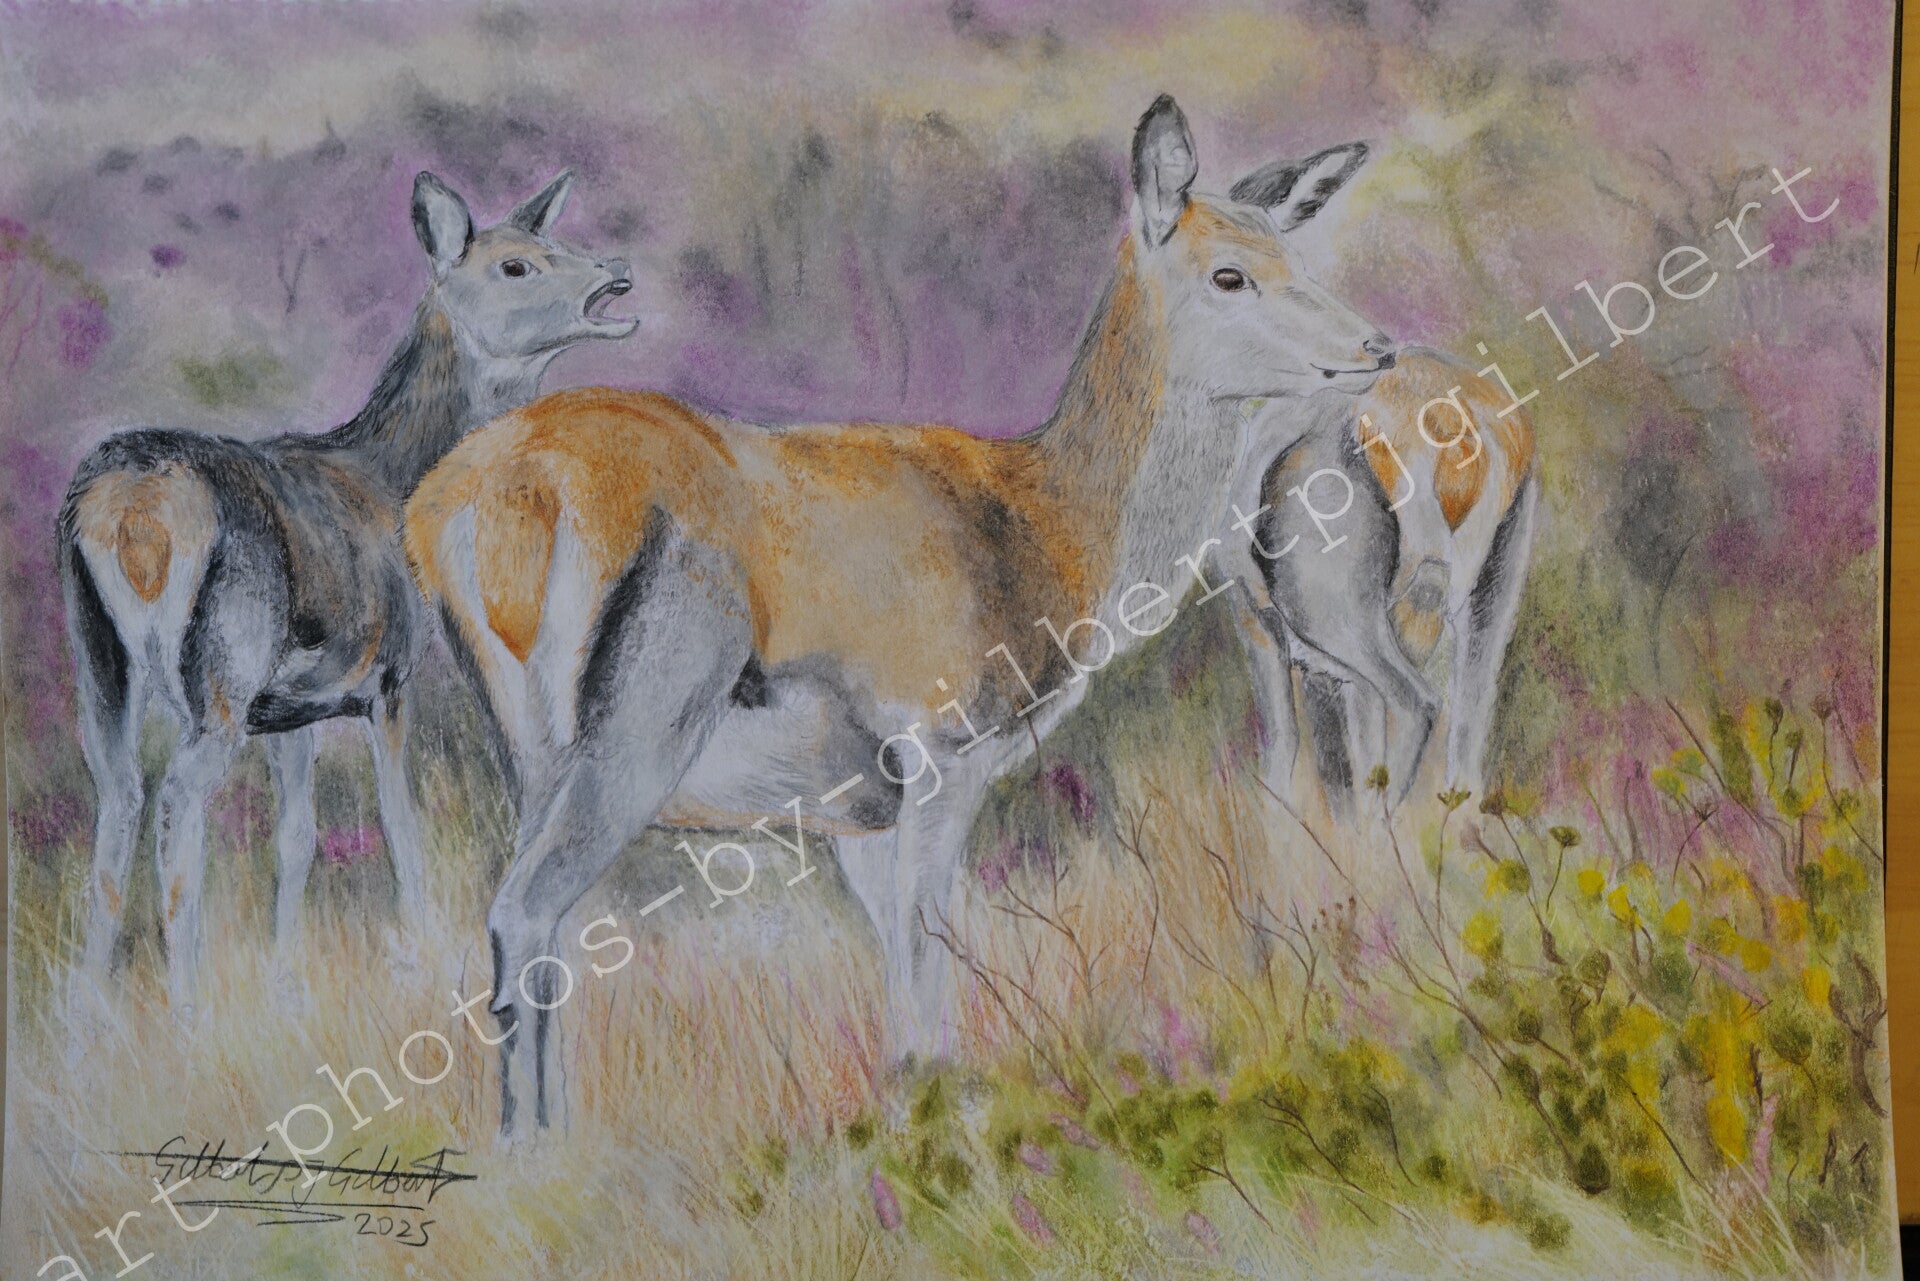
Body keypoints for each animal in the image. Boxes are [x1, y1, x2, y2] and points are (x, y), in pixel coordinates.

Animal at [59, 169, 638, 1015]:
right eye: (516, 265)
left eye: (555, 240)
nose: (617, 272)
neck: (394, 478)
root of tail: (130, 510)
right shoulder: (388, 675)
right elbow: (400, 822)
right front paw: (432, 960)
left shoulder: (287, 708)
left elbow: (295, 836)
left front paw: (285, 983)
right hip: (223, 662)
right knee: (177, 797)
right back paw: (187, 1008)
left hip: (98, 653)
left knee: (117, 792)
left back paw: (89, 1016)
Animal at [404, 95, 1396, 1133]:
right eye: (1229, 272)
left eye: (1295, 252)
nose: (1376, 348)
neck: (1043, 523)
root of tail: (483, 489)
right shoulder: (942, 763)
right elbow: (928, 947)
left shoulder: (862, 821)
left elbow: (897, 964)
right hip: (629, 753)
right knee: (524, 912)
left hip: (536, 765)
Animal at [1222, 346, 1538, 822]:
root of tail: (1458, 417)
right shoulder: (1321, 671)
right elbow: (1334, 773)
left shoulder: (1261, 628)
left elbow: (1283, 750)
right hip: (1485, 604)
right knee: (1467, 732)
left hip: (1350, 625)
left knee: (1415, 705)